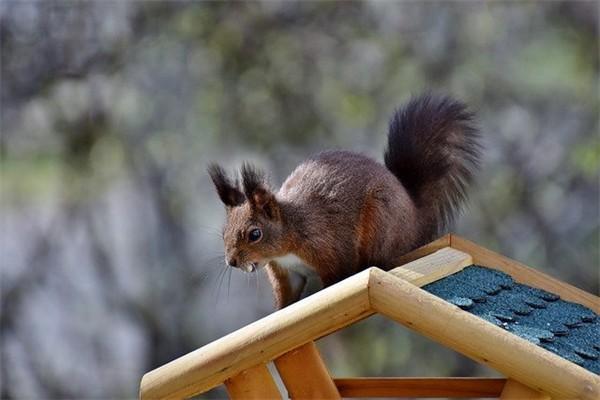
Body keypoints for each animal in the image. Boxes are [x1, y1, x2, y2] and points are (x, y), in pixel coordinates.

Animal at [209, 93, 480, 310]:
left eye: (255, 234)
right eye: (224, 233)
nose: (232, 262)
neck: (290, 235)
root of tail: (414, 215)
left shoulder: (327, 247)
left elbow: (336, 278)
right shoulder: (285, 272)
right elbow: (288, 296)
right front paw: (278, 313)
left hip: (382, 218)